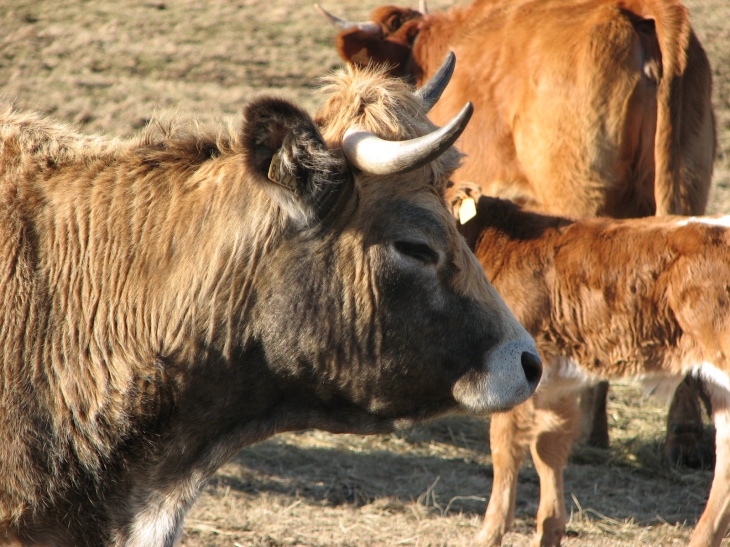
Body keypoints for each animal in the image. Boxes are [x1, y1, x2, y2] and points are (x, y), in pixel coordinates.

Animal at [456, 189, 728, 547]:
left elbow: (504, 449)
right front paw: (550, 530)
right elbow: (547, 448)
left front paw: (490, 534)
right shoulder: (552, 384)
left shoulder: (512, 373)